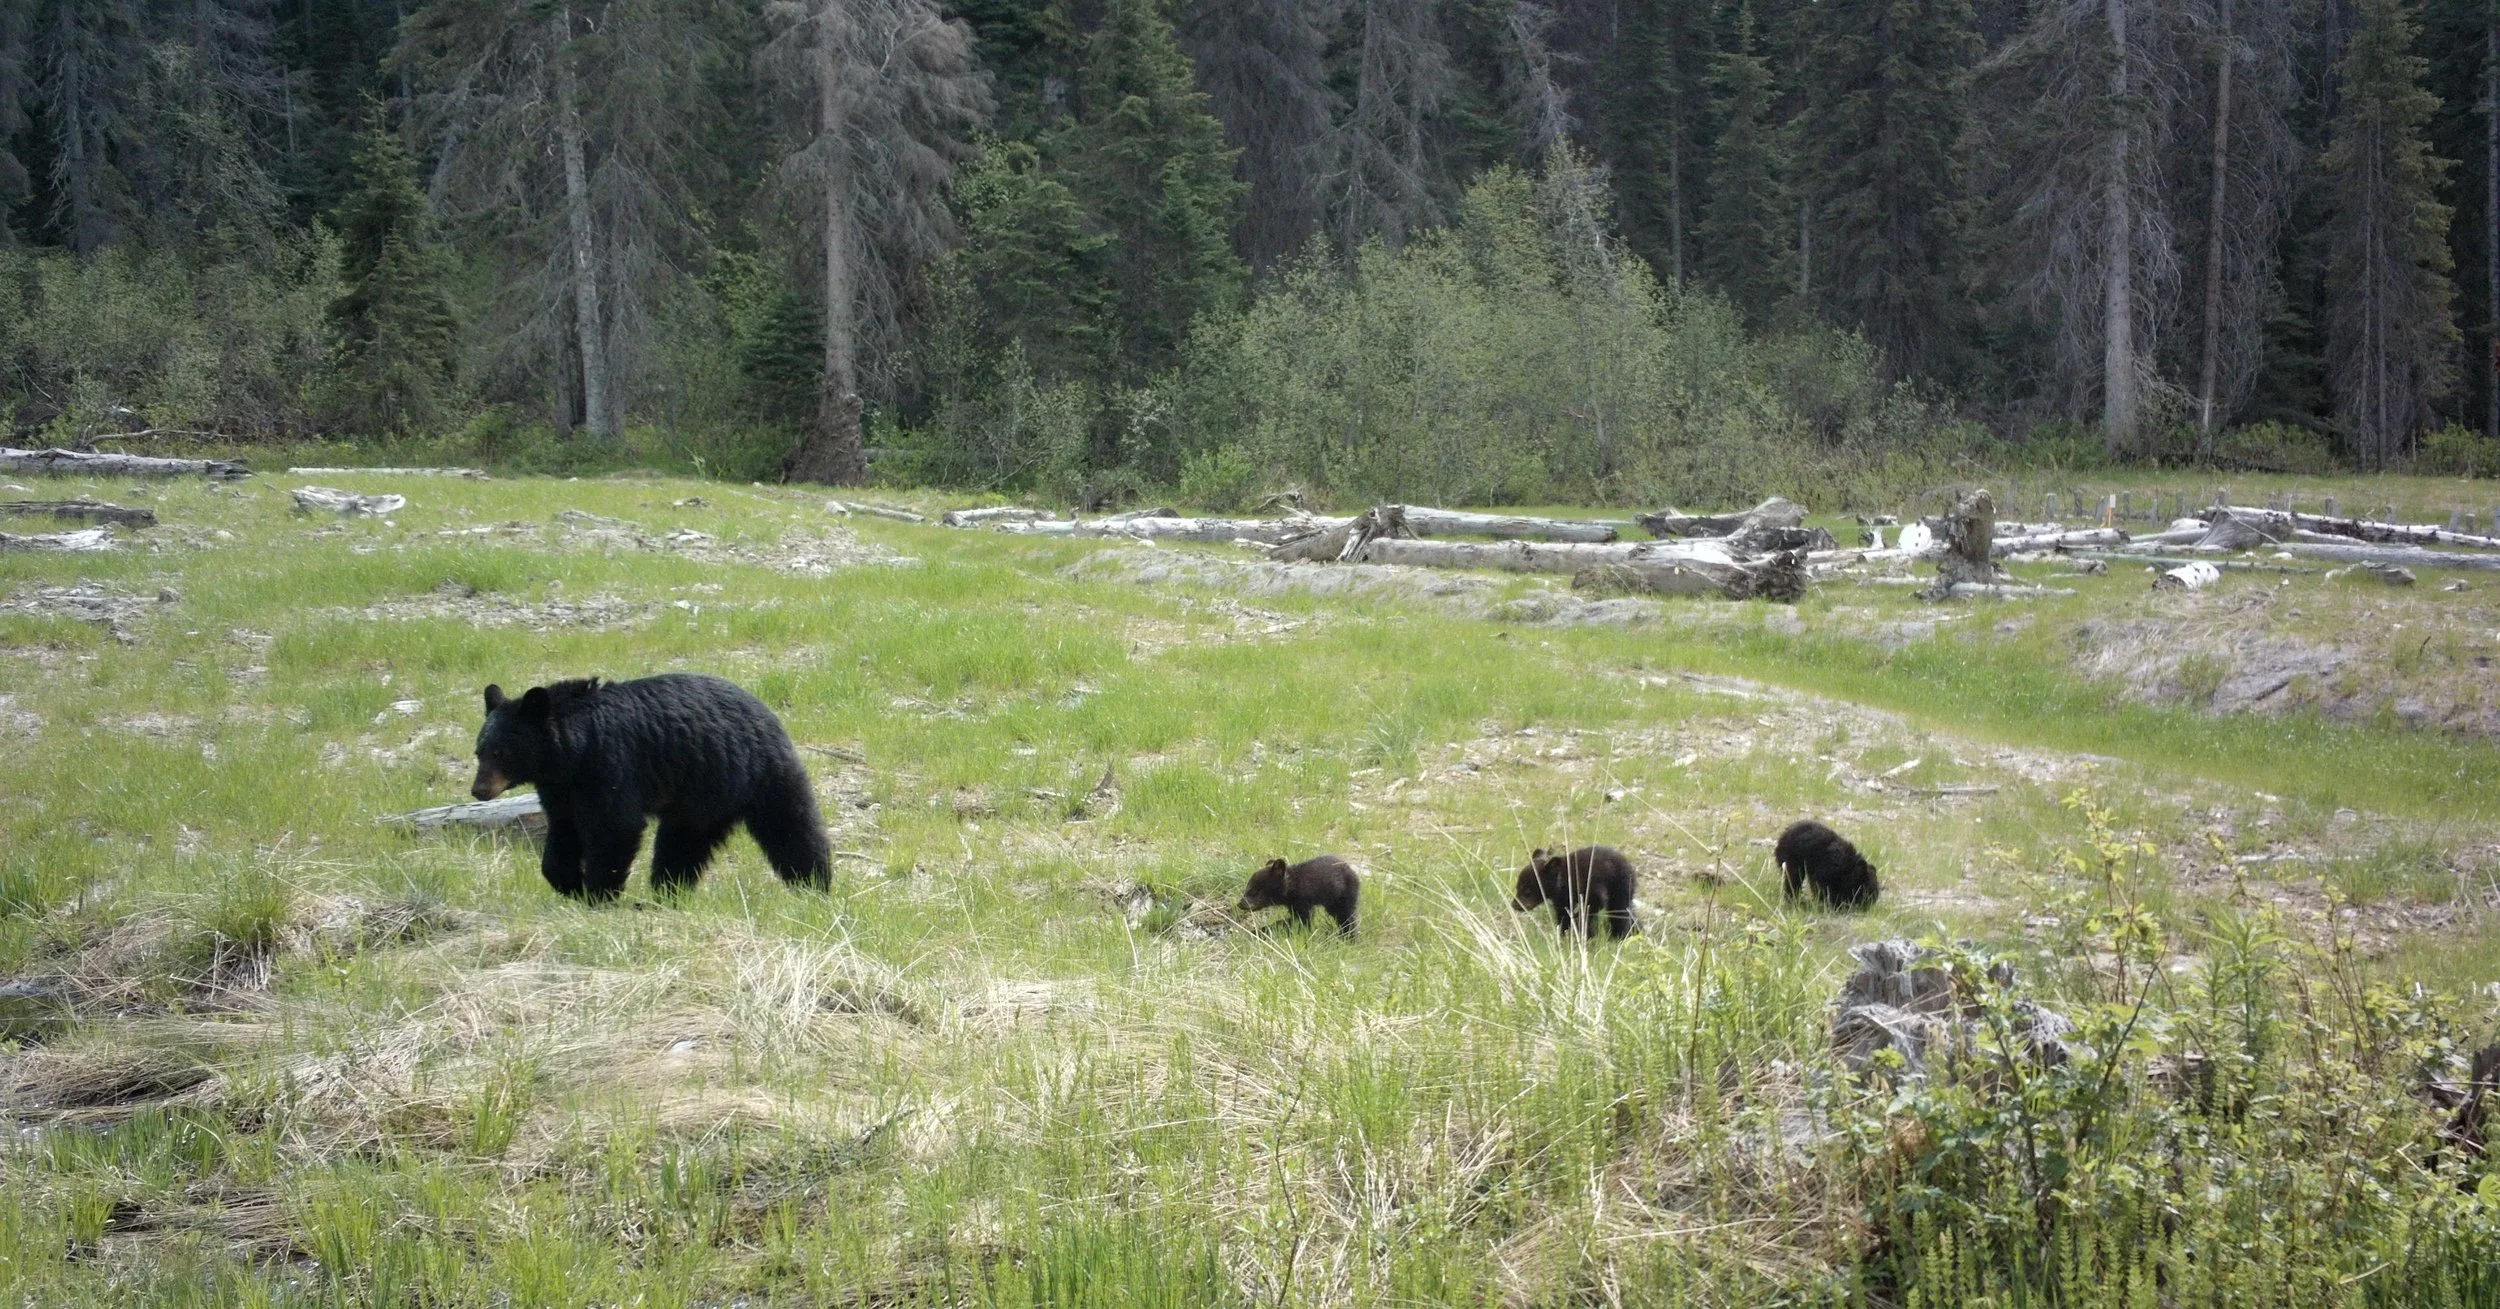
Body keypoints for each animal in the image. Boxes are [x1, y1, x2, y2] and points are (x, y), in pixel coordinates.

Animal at [470, 673, 833, 901]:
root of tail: (769, 714)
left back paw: (814, 884)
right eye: (479, 751)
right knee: (681, 848)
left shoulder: (610, 766)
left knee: (791, 829)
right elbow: (563, 830)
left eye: (500, 752)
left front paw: (598, 893)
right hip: (698, 802)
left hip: (756, 775)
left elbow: (615, 827)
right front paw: (567, 881)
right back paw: (667, 892)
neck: (573, 753)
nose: (478, 790)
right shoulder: (561, 789)